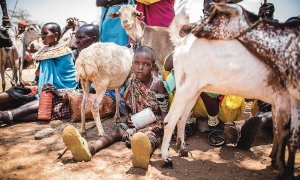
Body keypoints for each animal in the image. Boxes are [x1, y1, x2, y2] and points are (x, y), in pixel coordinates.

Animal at [161, 0, 294, 178]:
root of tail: (182, 43)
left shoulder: (279, 102)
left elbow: (278, 131)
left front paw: (273, 159)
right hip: (185, 89)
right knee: (170, 120)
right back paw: (166, 158)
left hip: (193, 91)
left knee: (182, 119)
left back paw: (182, 148)